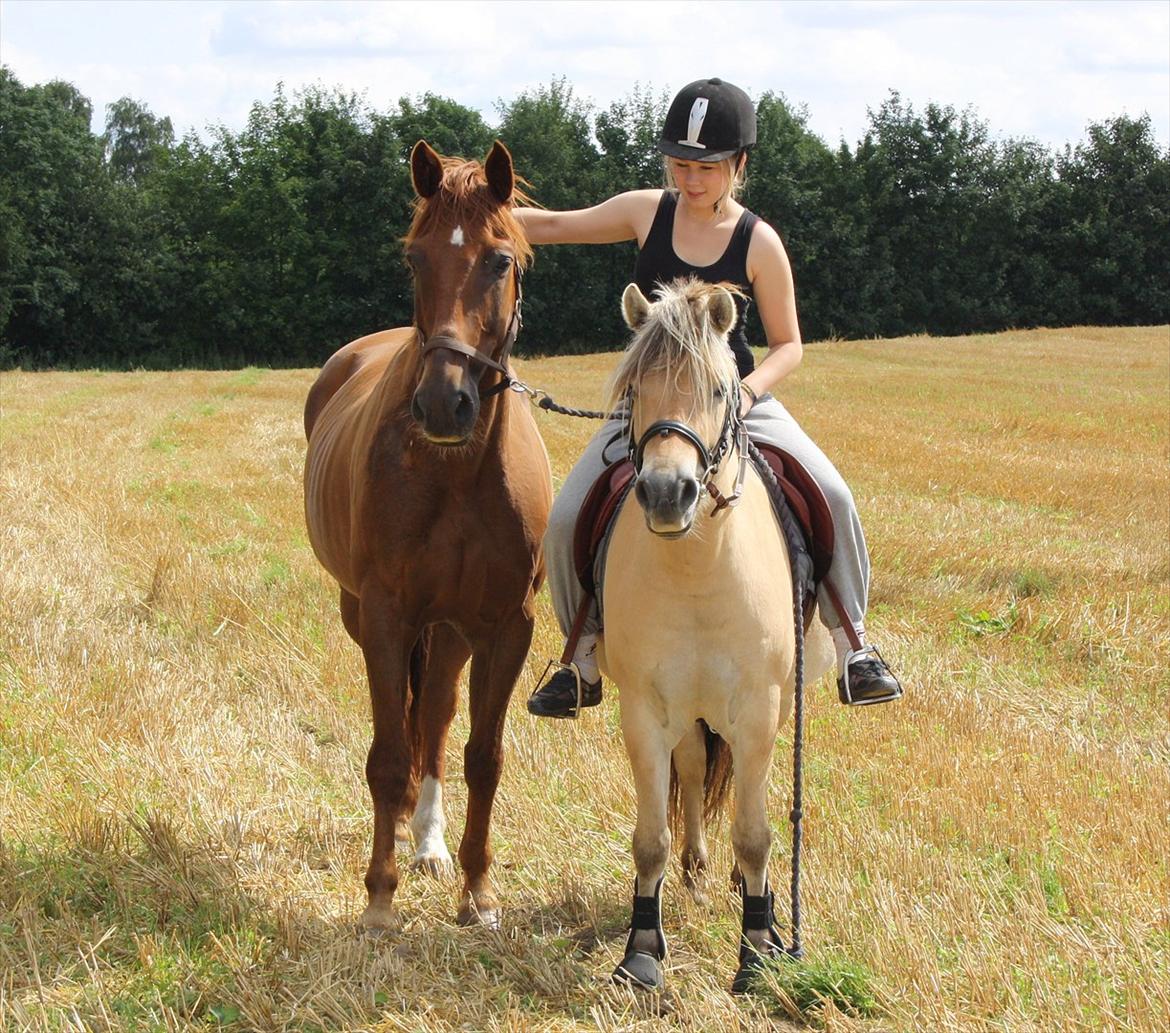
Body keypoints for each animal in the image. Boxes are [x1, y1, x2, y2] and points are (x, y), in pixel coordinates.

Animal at [306, 139, 552, 931]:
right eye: (415, 258)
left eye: (500, 260)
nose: (446, 403)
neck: (456, 472)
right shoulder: (387, 615)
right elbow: (388, 756)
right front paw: (379, 898)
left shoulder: (506, 626)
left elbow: (483, 755)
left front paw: (477, 891)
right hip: (369, 613)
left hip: (451, 629)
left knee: (438, 718)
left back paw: (432, 845)